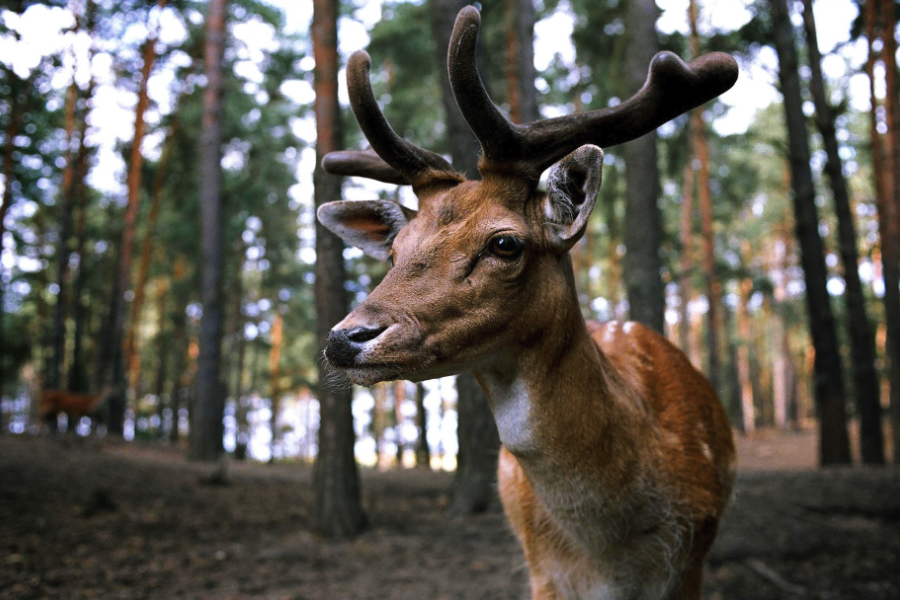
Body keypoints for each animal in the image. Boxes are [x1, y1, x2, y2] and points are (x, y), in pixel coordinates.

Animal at [316, 5, 740, 600]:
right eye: (396, 250)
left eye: (504, 243)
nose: (345, 337)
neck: (610, 556)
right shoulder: (543, 573)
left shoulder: (692, 562)